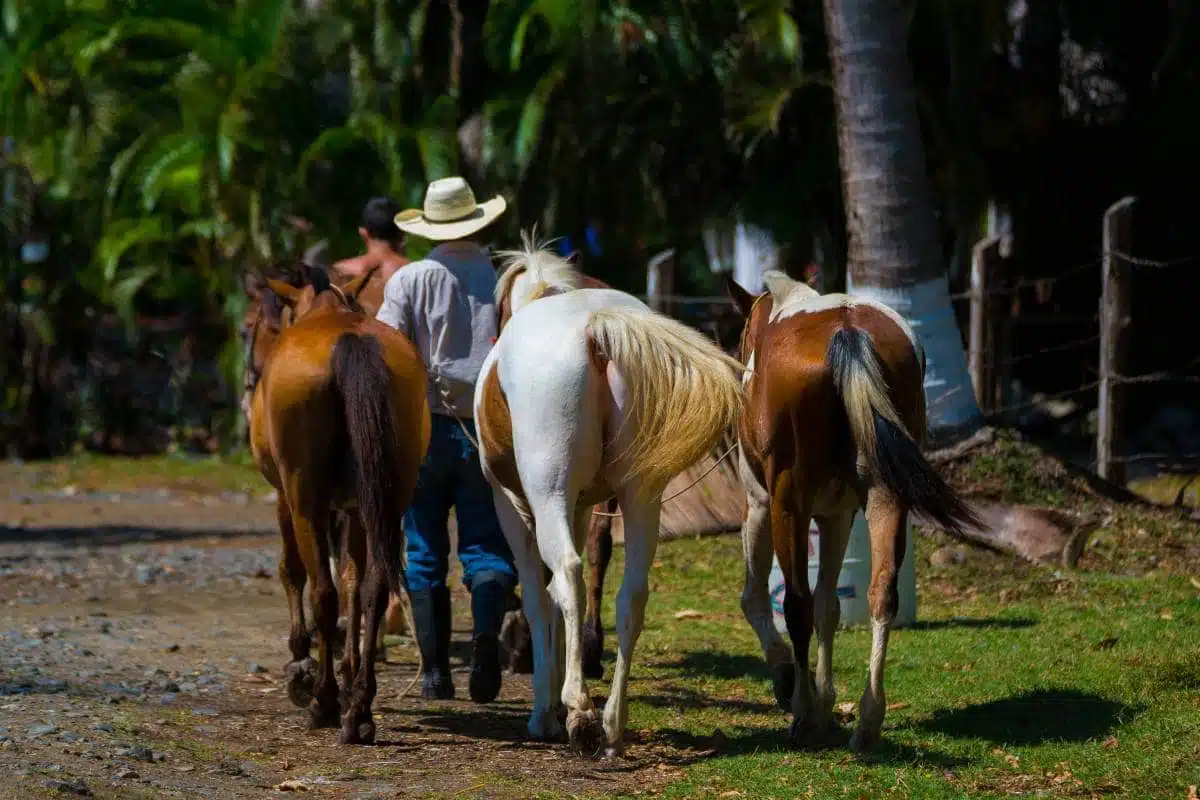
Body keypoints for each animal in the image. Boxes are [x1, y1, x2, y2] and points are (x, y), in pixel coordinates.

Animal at [248, 268, 432, 743]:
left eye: (252, 325)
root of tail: (350, 341)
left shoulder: (287, 498)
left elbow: (294, 572)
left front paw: (301, 663)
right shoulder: (355, 509)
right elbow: (353, 582)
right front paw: (351, 677)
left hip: (305, 500)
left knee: (323, 592)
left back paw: (325, 701)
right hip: (388, 498)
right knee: (373, 591)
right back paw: (359, 708)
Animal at [470, 232, 739, 758]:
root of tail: (595, 330)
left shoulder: (511, 506)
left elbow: (540, 598)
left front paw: (545, 711)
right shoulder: (579, 507)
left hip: (548, 493)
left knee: (570, 575)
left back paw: (579, 712)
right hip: (640, 496)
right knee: (631, 594)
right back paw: (613, 722)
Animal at [724, 272, 979, 753]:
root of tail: (847, 331)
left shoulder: (761, 504)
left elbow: (758, 600)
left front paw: (795, 689)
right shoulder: (836, 516)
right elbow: (831, 606)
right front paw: (827, 702)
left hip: (787, 506)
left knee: (797, 605)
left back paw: (804, 716)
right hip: (885, 496)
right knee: (882, 593)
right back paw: (869, 718)